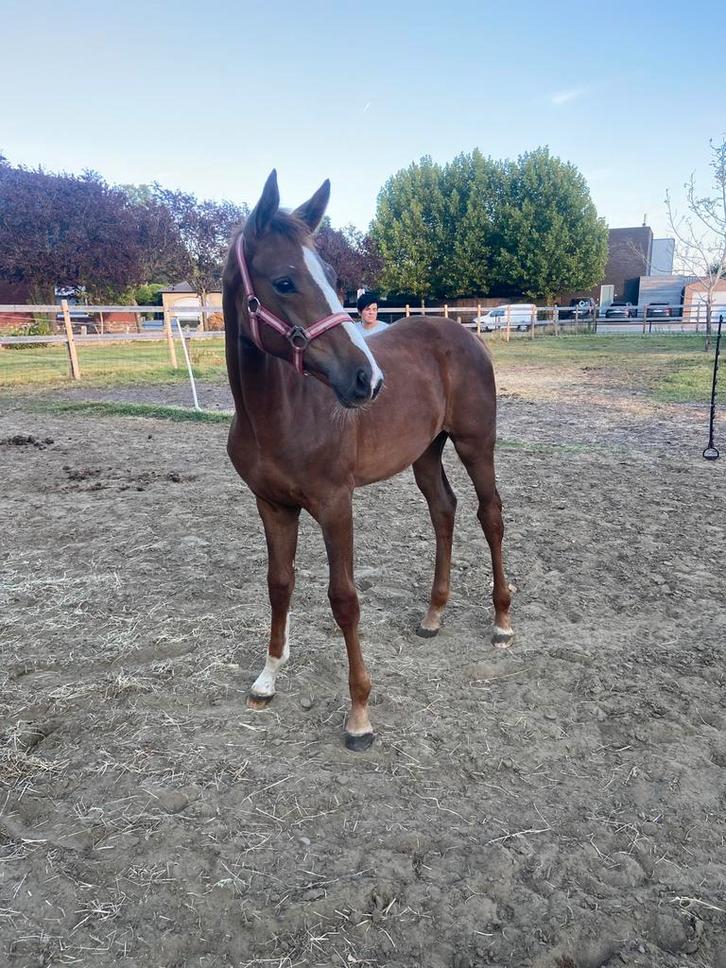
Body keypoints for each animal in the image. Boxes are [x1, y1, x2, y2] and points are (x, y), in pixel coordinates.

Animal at [223, 171, 513, 751]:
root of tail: (462, 331)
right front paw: (267, 677)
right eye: (284, 282)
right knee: (444, 510)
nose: (367, 379)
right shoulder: (271, 505)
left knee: (489, 513)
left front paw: (359, 714)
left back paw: (501, 622)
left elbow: (344, 599)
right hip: (426, 452)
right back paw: (433, 615)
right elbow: (279, 583)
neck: (277, 412)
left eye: (334, 278)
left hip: (476, 444)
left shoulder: (335, 504)